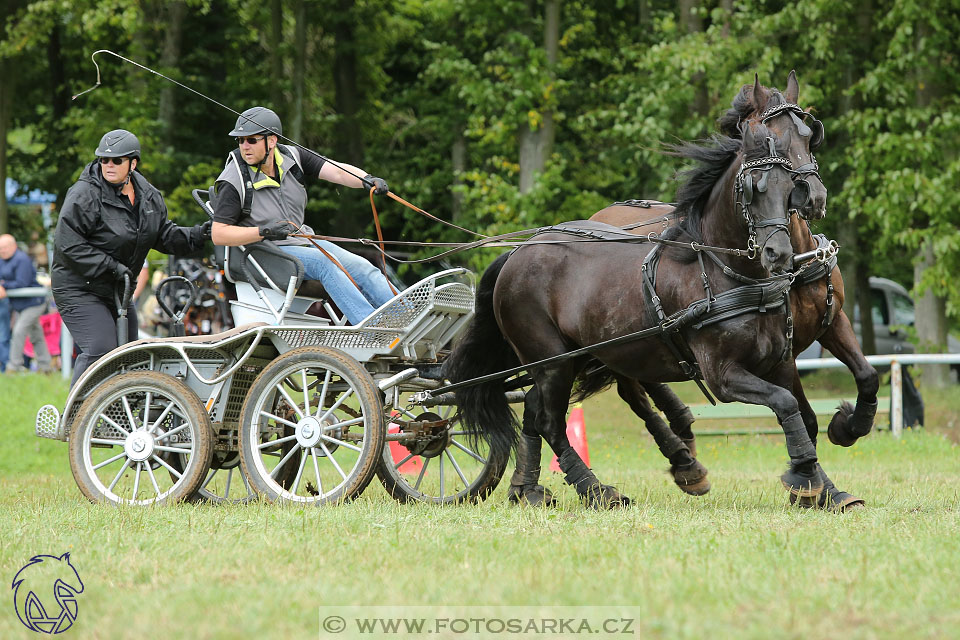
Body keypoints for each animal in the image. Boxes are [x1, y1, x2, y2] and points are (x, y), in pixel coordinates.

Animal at [446, 121, 820, 510]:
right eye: (753, 187)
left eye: (790, 188)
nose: (778, 253)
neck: (721, 273)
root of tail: (517, 253)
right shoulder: (723, 375)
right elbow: (785, 402)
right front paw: (805, 476)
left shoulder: (779, 362)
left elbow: (801, 411)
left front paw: (820, 486)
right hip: (552, 360)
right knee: (550, 421)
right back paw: (595, 489)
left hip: (573, 357)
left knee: (535, 409)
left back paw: (527, 489)